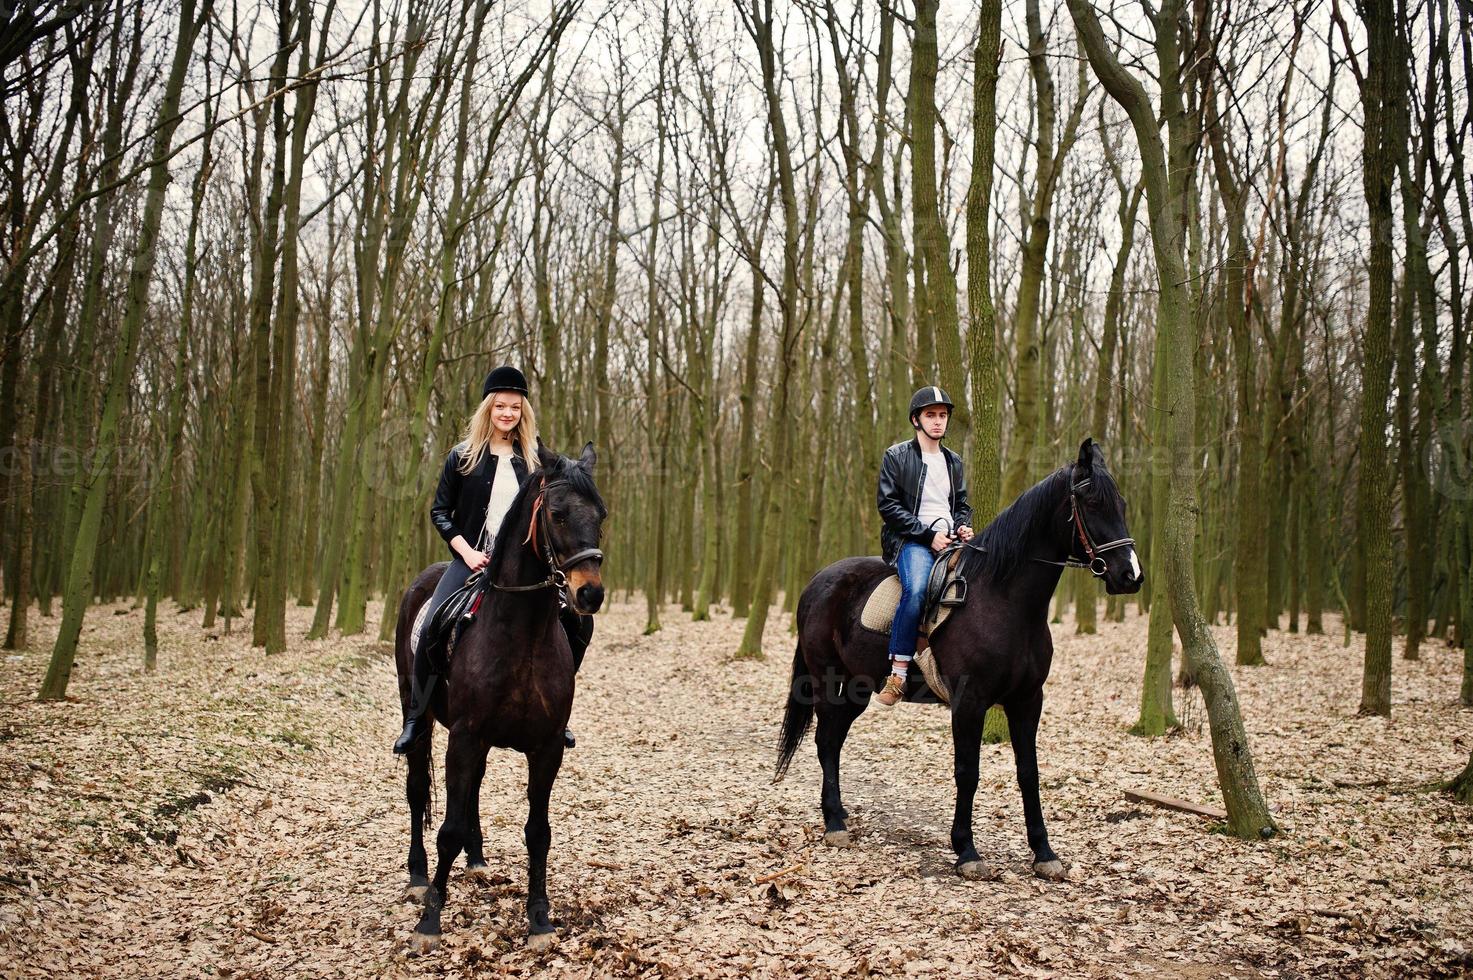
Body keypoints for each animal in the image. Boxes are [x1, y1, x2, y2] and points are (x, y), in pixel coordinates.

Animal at [394, 442, 606, 949]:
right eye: (557, 514)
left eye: (601, 515)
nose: (589, 594)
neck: (521, 634)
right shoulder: (465, 737)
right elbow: (447, 829)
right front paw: (430, 920)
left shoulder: (545, 747)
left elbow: (538, 832)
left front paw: (540, 919)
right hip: (420, 716)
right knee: (417, 788)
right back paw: (417, 877)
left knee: (472, 788)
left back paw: (476, 860)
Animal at [777, 439, 1143, 872]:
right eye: (1091, 502)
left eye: (1122, 503)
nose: (1130, 576)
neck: (1004, 600)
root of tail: (816, 582)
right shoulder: (969, 701)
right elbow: (968, 771)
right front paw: (966, 850)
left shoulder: (1027, 700)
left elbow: (1028, 772)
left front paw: (1044, 852)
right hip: (827, 681)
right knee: (825, 740)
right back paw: (834, 823)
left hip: (857, 689)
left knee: (833, 740)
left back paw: (839, 814)